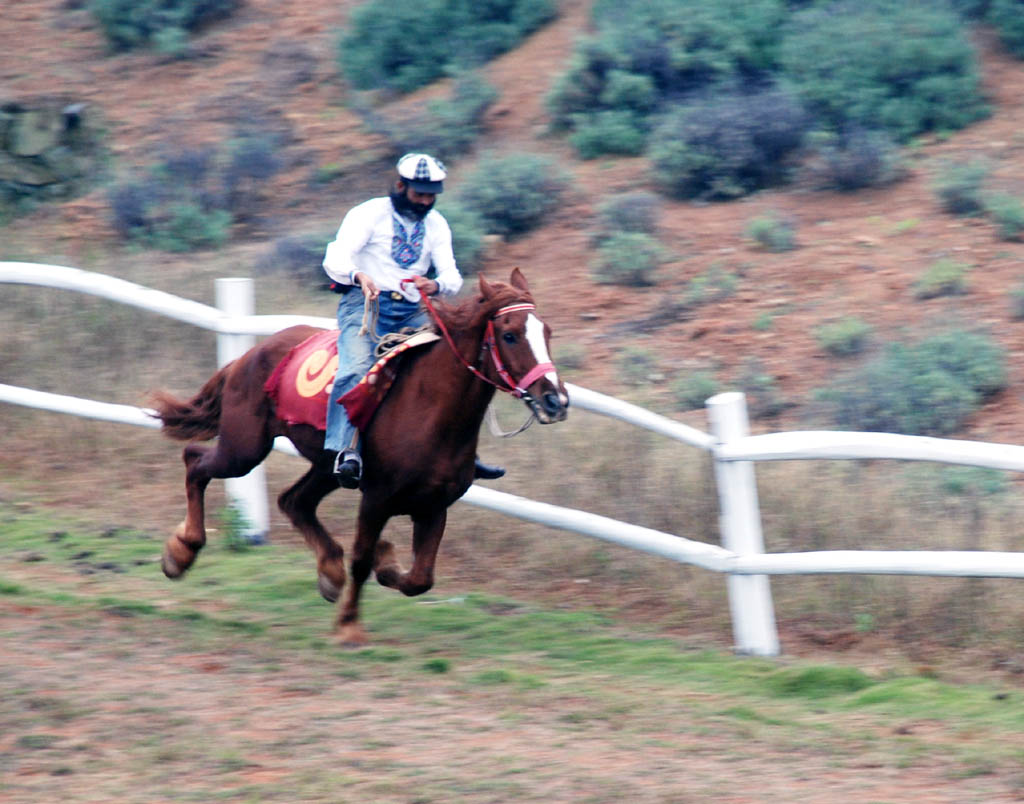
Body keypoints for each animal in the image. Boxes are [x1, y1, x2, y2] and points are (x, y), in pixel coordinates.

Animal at [149, 266, 573, 643]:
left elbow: (420, 578)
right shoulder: (377, 498)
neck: (429, 409)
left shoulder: (435, 505)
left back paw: (328, 572)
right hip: (244, 449)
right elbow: (363, 559)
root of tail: (248, 356)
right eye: (509, 334)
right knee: (195, 461)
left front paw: (387, 562)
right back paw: (181, 552)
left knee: (294, 501)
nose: (555, 400)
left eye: (547, 332)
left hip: (323, 465)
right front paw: (350, 625)